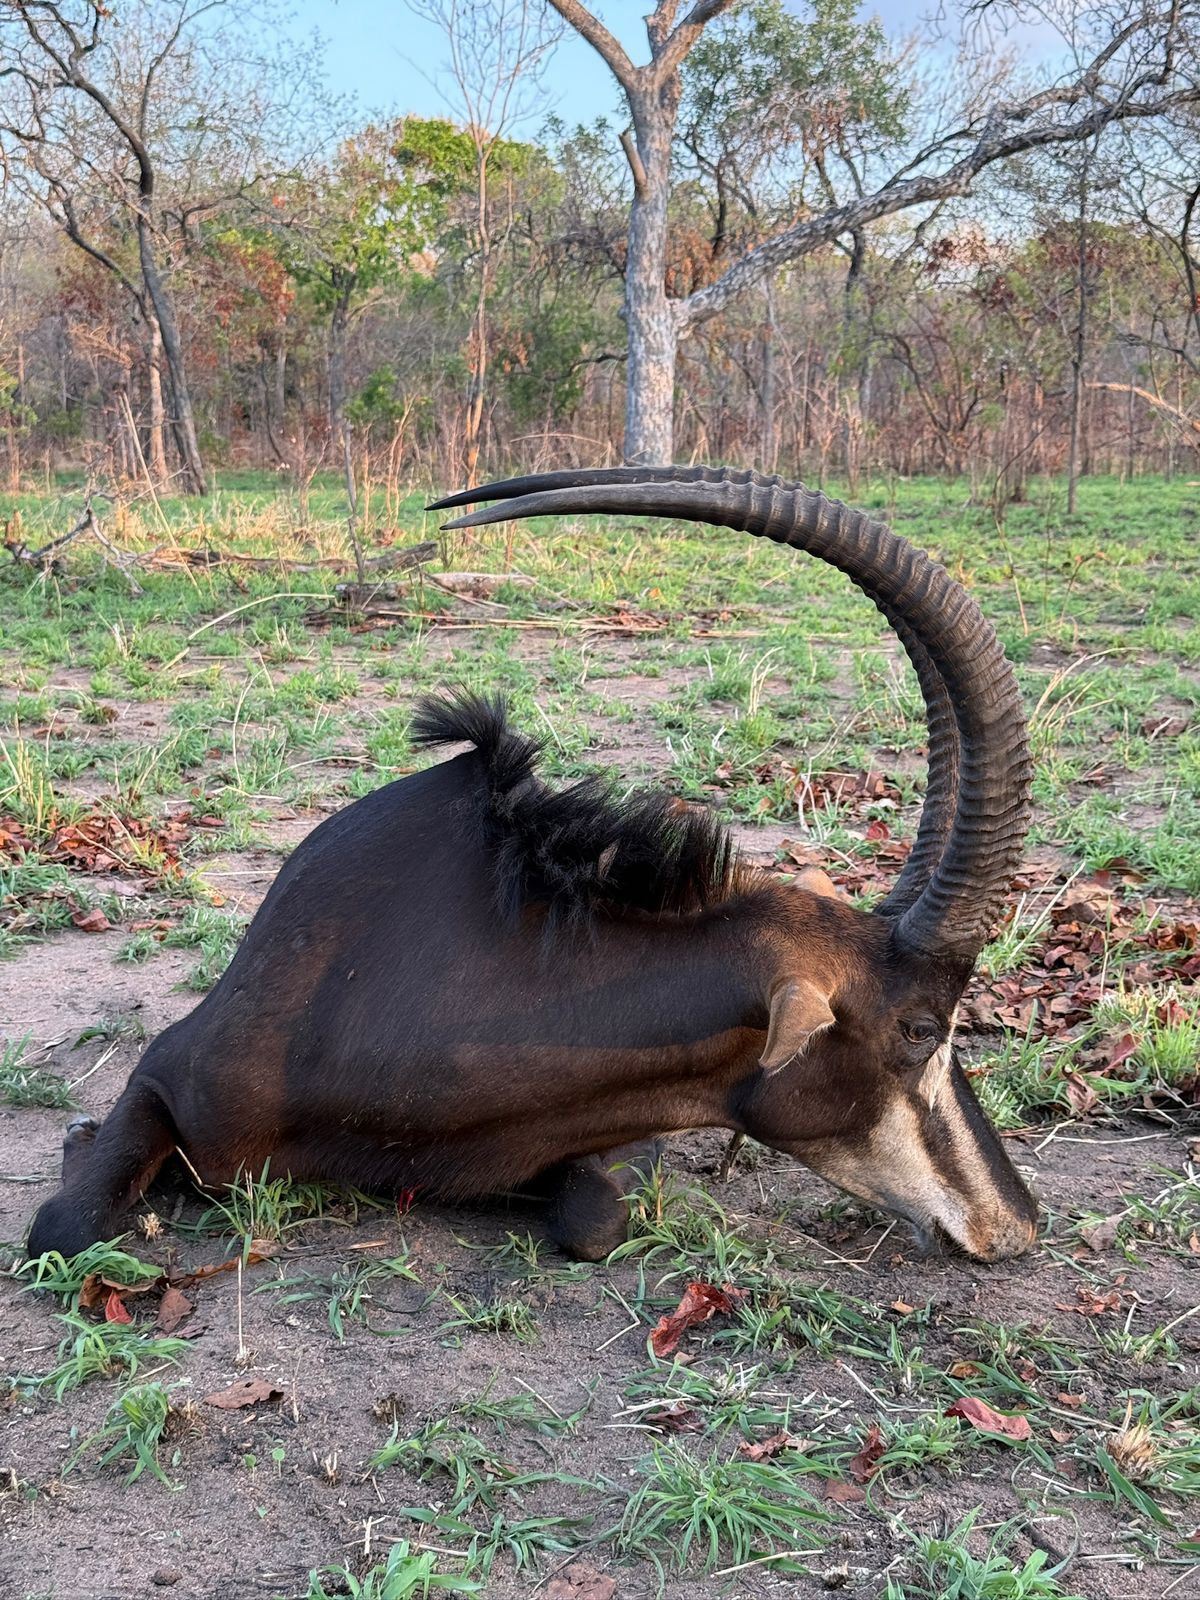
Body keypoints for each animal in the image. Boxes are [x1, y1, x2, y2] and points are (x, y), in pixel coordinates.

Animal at [27, 466, 1038, 1265]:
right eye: (921, 1028)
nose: (1015, 1223)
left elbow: (594, 1216)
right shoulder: (170, 1072)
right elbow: (61, 1227)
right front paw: (80, 1141)